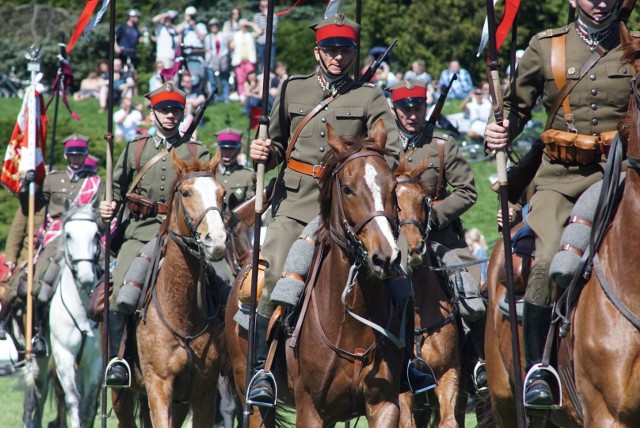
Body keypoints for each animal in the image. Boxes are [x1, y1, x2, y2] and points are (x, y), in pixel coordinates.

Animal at [111, 152, 229, 426]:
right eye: (185, 192)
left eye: (222, 193)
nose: (217, 241)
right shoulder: (159, 386)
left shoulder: (204, 393)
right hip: (121, 396)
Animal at [228, 118, 408, 426]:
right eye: (347, 189)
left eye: (393, 186)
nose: (385, 258)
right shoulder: (311, 409)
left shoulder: (384, 404)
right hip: (250, 396)